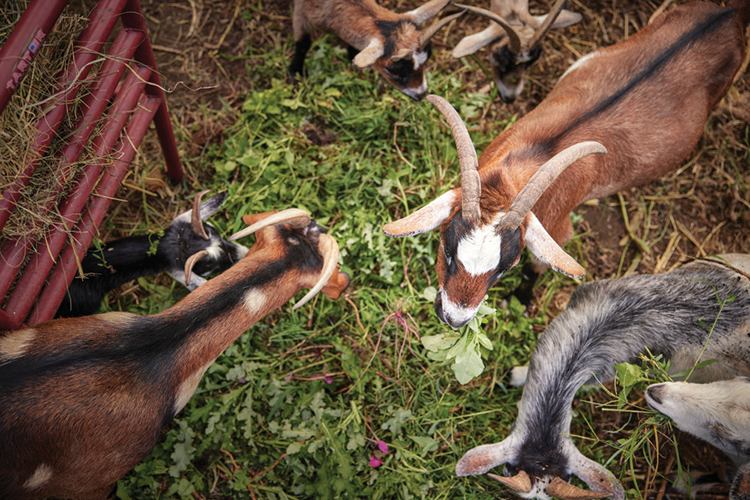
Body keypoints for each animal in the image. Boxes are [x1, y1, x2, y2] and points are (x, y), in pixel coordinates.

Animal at [289, 0, 464, 100]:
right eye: (391, 70)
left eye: (426, 61)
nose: (421, 95)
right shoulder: (300, 11)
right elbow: (304, 43)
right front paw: (295, 72)